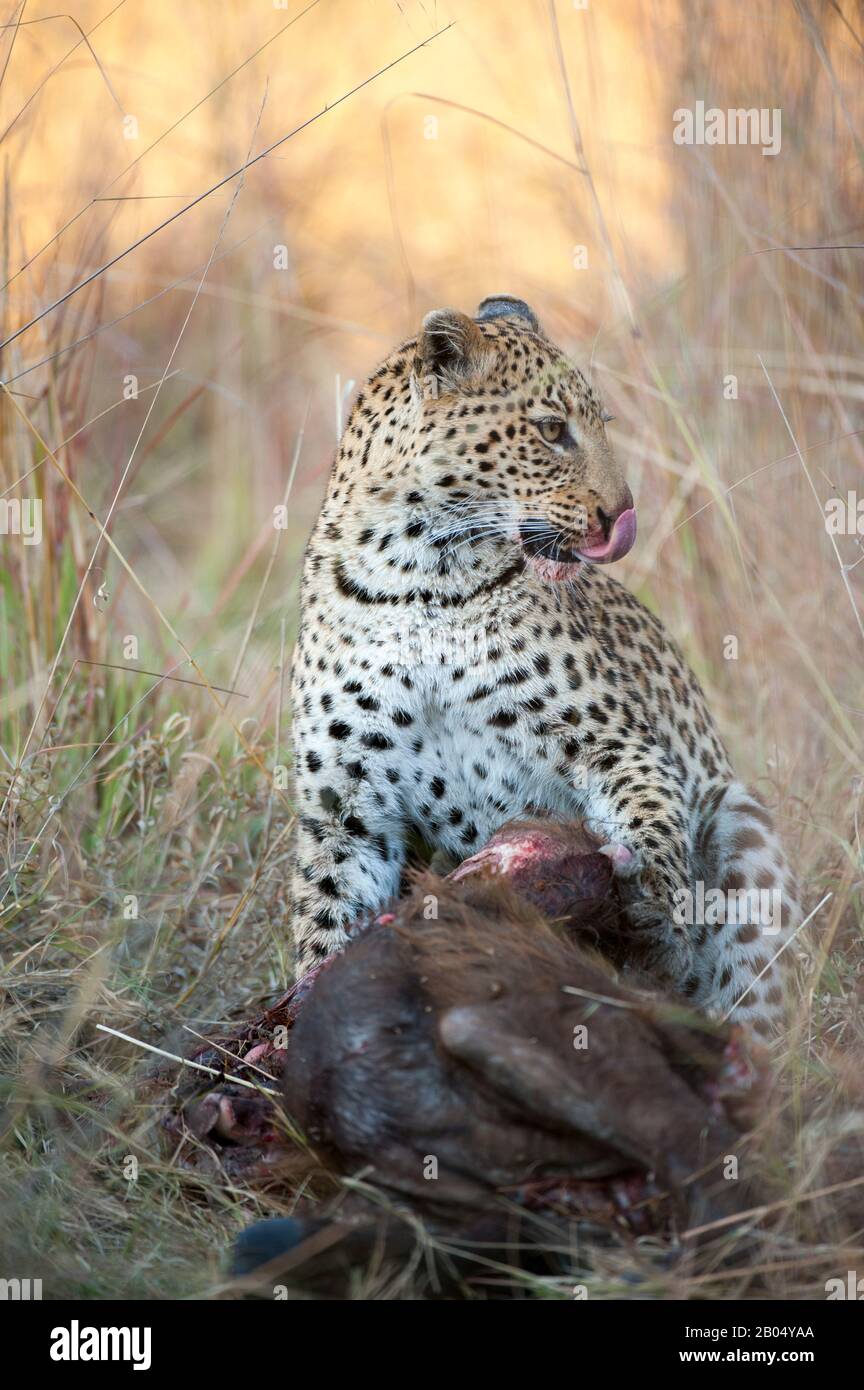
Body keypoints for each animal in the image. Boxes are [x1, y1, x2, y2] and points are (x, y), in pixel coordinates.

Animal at [289, 294, 800, 1034]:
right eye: (553, 430)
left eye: (601, 425)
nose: (622, 514)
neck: (414, 577)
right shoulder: (347, 808)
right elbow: (326, 915)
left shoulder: (611, 741)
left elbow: (651, 819)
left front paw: (658, 909)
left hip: (741, 815)